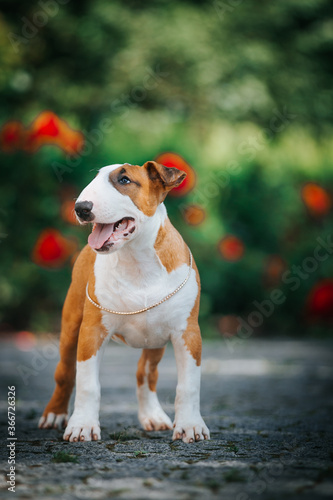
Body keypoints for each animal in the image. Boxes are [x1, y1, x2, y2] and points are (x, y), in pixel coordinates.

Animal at [39, 159, 209, 442]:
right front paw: (82, 425)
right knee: (65, 372)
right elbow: (87, 383)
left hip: (155, 341)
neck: (136, 260)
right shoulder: (92, 332)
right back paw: (54, 414)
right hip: (71, 325)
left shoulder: (188, 333)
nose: (81, 207)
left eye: (125, 180)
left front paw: (190, 426)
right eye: (94, 179)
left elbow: (189, 385)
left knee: (145, 373)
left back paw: (153, 416)